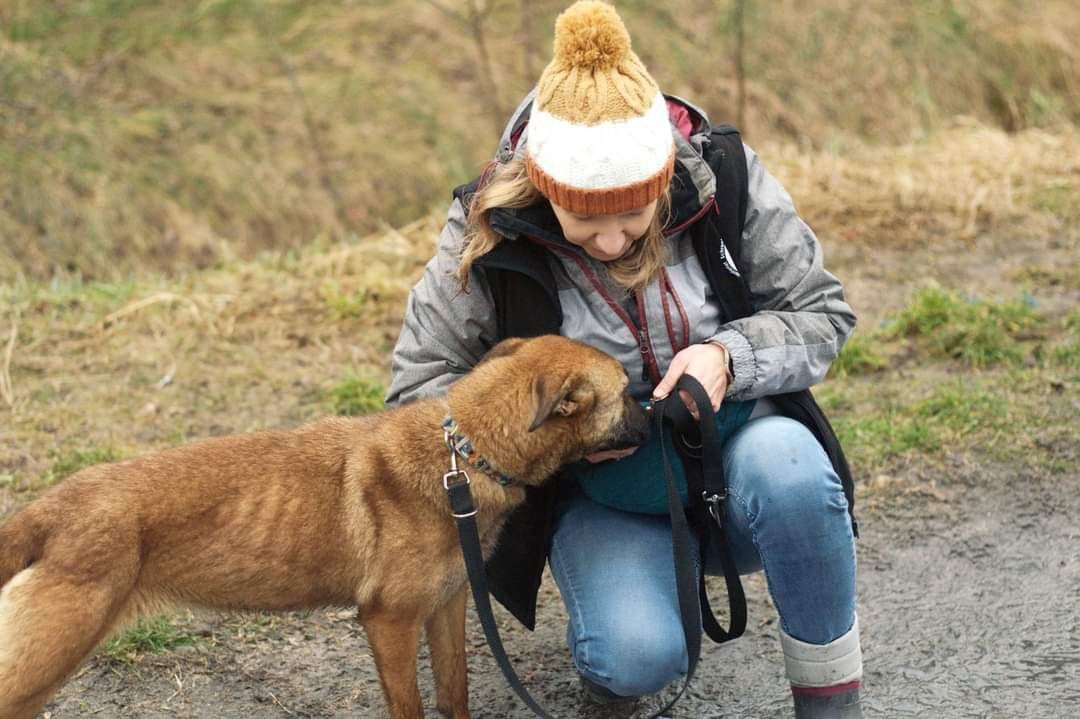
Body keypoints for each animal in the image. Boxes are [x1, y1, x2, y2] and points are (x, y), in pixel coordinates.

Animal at [0, 336, 648, 716]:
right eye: (628, 391)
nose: (661, 407)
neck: (463, 455)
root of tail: (50, 508)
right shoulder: (389, 622)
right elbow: (412, 705)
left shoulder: (448, 606)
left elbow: (453, 692)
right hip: (45, 658)